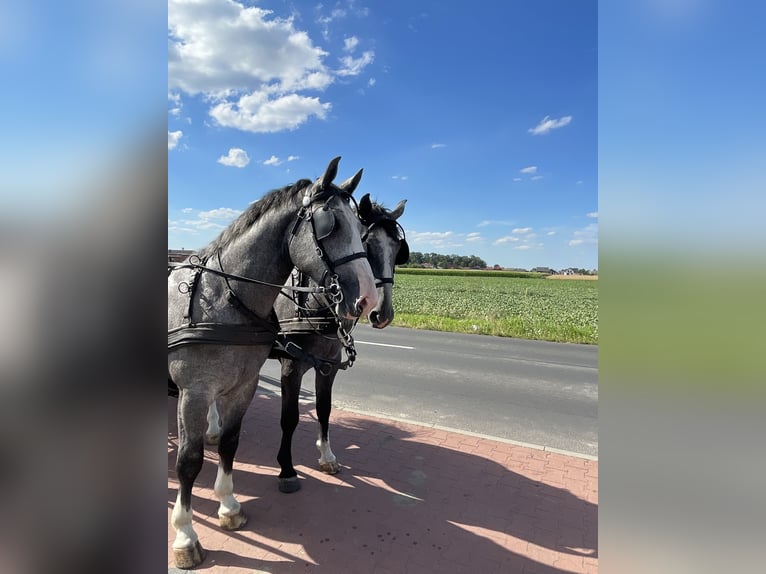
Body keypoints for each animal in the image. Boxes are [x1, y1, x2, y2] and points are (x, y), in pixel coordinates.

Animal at [168, 158, 378, 572]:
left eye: (362, 228)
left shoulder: (243, 386)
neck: (223, 299)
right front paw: (185, 536)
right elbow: (188, 460)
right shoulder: (193, 392)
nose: (367, 298)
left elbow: (230, 444)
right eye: (331, 224)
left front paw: (229, 506)